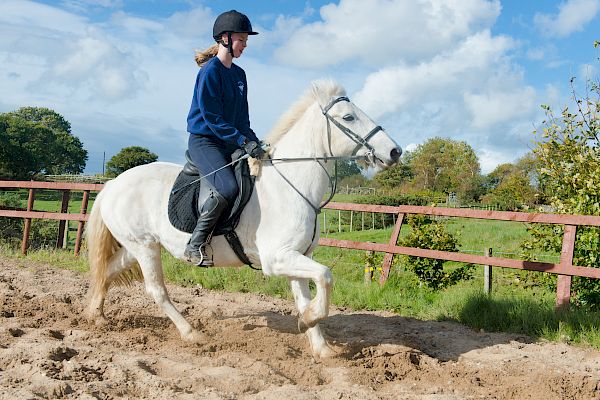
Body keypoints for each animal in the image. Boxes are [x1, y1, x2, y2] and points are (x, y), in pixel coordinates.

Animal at [84, 79, 400, 360]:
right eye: (348, 117)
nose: (394, 151)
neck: (290, 184)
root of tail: (113, 184)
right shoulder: (277, 259)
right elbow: (325, 275)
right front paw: (309, 321)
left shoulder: (297, 256)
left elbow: (307, 297)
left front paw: (320, 345)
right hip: (145, 246)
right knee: (156, 290)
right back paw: (191, 333)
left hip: (137, 246)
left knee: (107, 271)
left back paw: (95, 316)